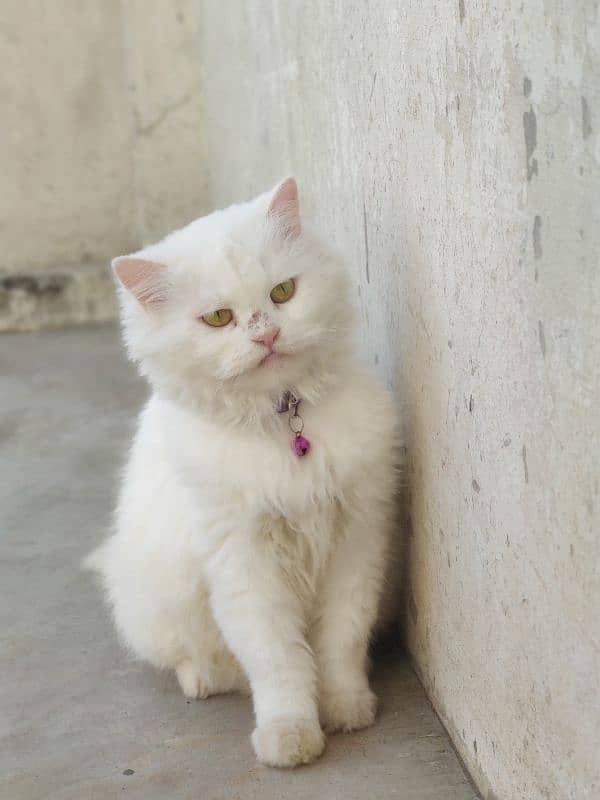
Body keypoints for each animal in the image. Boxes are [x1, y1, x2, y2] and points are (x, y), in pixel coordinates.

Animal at [86, 178, 398, 764]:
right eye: (218, 319)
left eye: (282, 293)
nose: (265, 335)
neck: (282, 422)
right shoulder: (242, 561)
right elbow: (278, 661)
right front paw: (290, 737)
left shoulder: (356, 540)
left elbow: (341, 640)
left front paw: (346, 707)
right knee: (196, 659)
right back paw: (205, 680)